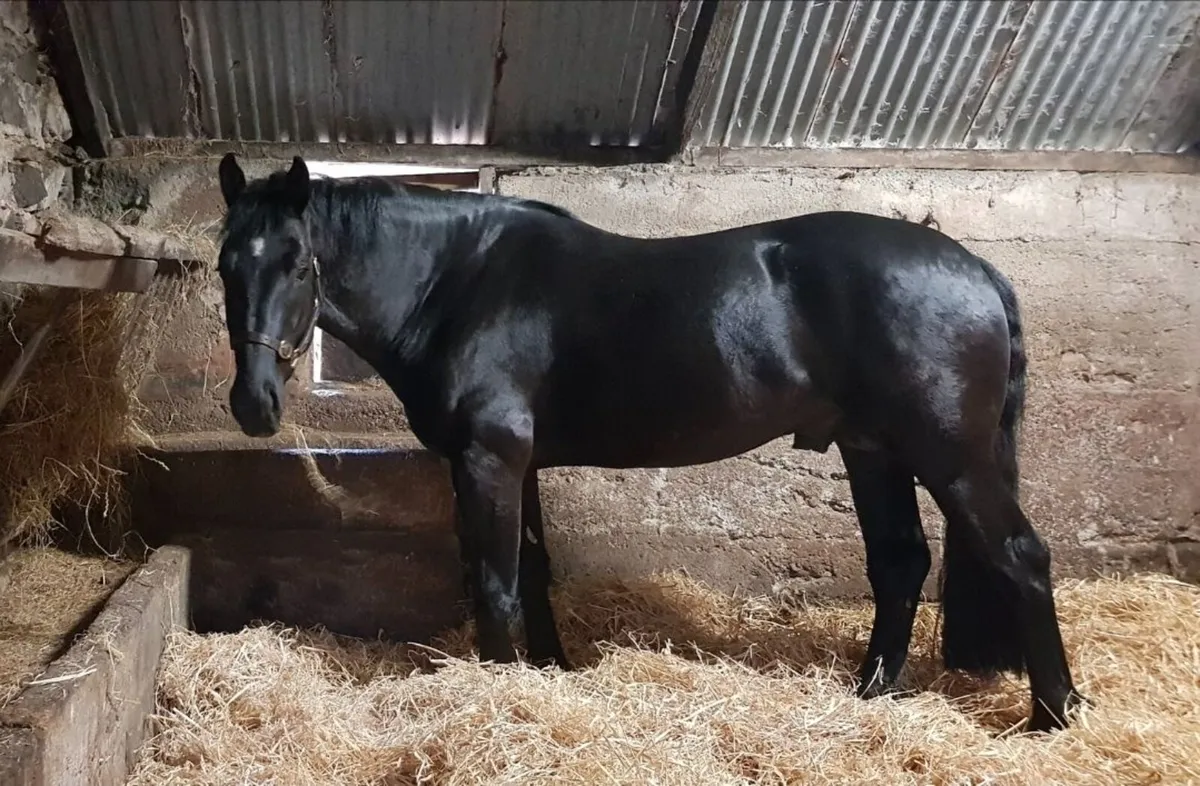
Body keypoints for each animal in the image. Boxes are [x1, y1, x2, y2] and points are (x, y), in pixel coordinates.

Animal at [214, 153, 1087, 733]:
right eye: (226, 266)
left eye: (298, 264)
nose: (254, 404)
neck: (460, 285)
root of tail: (976, 269)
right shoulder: (519, 463)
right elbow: (533, 572)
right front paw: (551, 674)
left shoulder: (488, 459)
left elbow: (495, 583)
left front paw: (501, 687)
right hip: (873, 450)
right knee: (901, 563)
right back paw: (869, 694)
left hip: (948, 456)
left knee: (1019, 555)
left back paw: (1053, 713)